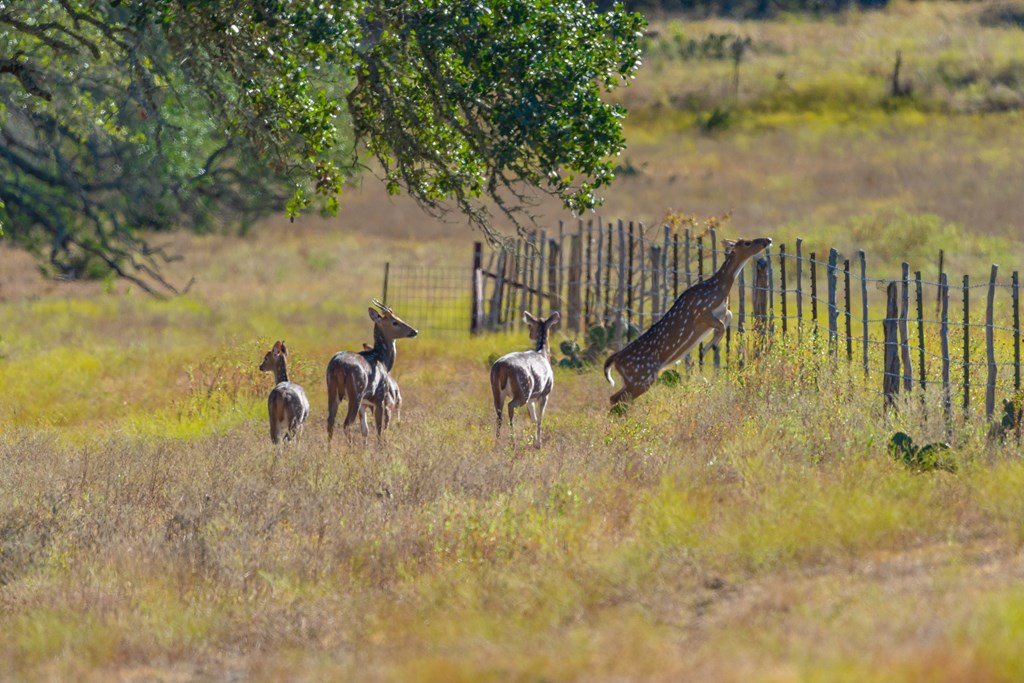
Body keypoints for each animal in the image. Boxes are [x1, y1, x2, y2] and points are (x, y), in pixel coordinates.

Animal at [326, 300, 417, 442]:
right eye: (395, 322)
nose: (415, 331)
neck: (383, 361)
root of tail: (338, 365)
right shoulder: (380, 397)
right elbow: (379, 429)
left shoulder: (365, 402)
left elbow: (366, 430)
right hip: (356, 392)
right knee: (347, 424)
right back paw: (351, 446)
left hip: (331, 389)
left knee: (330, 422)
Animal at [490, 311, 560, 448]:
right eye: (529, 325)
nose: (530, 334)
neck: (543, 353)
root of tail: (501, 367)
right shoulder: (545, 392)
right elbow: (540, 418)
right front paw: (539, 444)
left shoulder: (532, 398)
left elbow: (534, 419)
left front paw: (535, 442)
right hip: (524, 389)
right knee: (510, 406)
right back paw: (513, 442)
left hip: (496, 390)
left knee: (499, 413)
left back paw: (497, 441)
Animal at [604, 237, 772, 405]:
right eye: (747, 243)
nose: (768, 240)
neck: (719, 291)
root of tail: (615, 359)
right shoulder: (700, 311)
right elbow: (722, 325)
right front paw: (707, 348)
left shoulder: (721, 310)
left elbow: (728, 317)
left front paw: (711, 345)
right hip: (642, 376)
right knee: (617, 398)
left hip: (635, 379)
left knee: (615, 398)